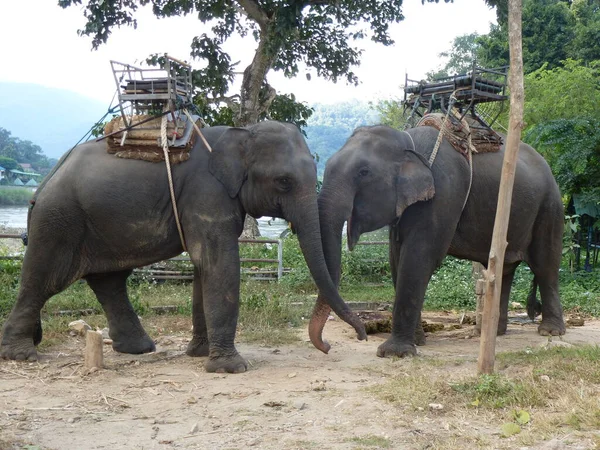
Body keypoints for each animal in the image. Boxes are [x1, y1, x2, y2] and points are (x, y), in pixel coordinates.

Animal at [0, 119, 366, 372]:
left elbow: (204, 267)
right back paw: (21, 355)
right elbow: (219, 263)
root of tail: (46, 179)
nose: (331, 346)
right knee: (45, 278)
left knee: (108, 280)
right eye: (284, 182)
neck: (241, 134)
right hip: (59, 220)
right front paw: (231, 368)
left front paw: (199, 355)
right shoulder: (206, 194)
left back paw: (138, 348)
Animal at [310, 125, 568, 356]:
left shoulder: (444, 194)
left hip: (550, 206)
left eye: (363, 172)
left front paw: (394, 353)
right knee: (504, 269)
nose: (361, 335)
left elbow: (419, 256)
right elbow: (396, 259)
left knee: (545, 264)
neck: (408, 141)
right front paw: (418, 342)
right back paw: (494, 333)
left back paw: (550, 332)